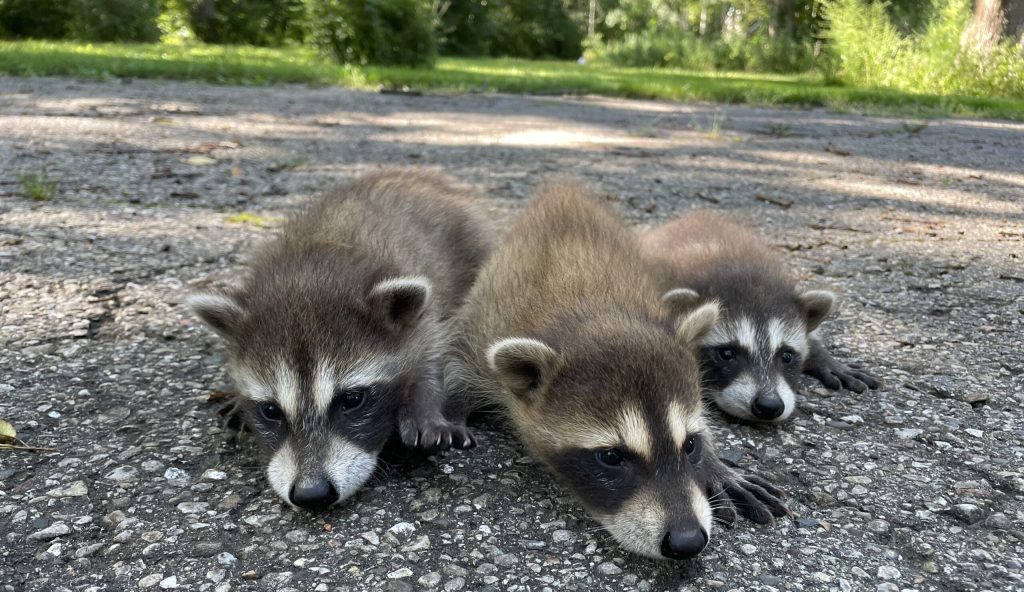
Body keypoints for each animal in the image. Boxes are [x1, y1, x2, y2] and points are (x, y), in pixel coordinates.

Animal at [187, 170, 493, 511]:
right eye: (270, 410)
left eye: (352, 399)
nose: (312, 494)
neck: (313, 268)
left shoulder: (426, 312)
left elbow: (435, 356)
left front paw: (425, 405)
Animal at [444, 181, 788, 560]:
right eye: (610, 457)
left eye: (690, 445)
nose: (687, 542)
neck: (594, 309)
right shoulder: (483, 326)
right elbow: (455, 362)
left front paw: (713, 464)